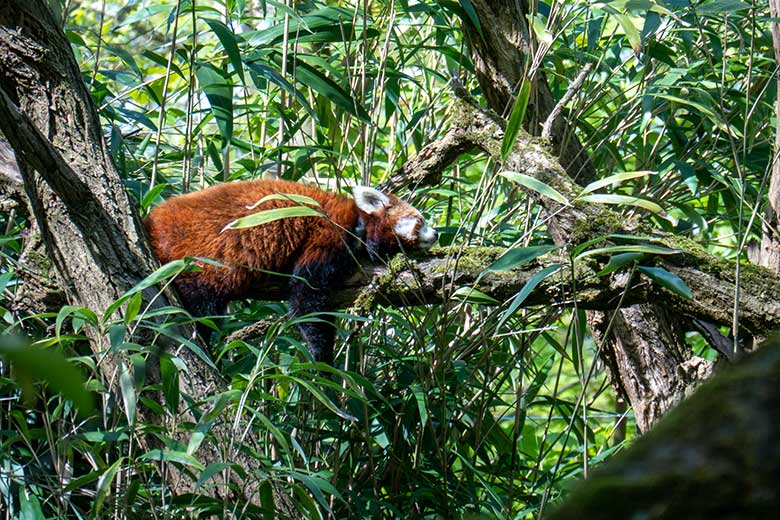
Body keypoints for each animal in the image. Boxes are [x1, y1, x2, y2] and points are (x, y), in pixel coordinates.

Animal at [143, 181, 436, 364]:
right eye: (420, 221)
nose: (435, 234)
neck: (358, 223)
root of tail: (151, 221)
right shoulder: (327, 238)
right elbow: (306, 303)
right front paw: (323, 358)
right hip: (197, 262)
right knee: (202, 309)